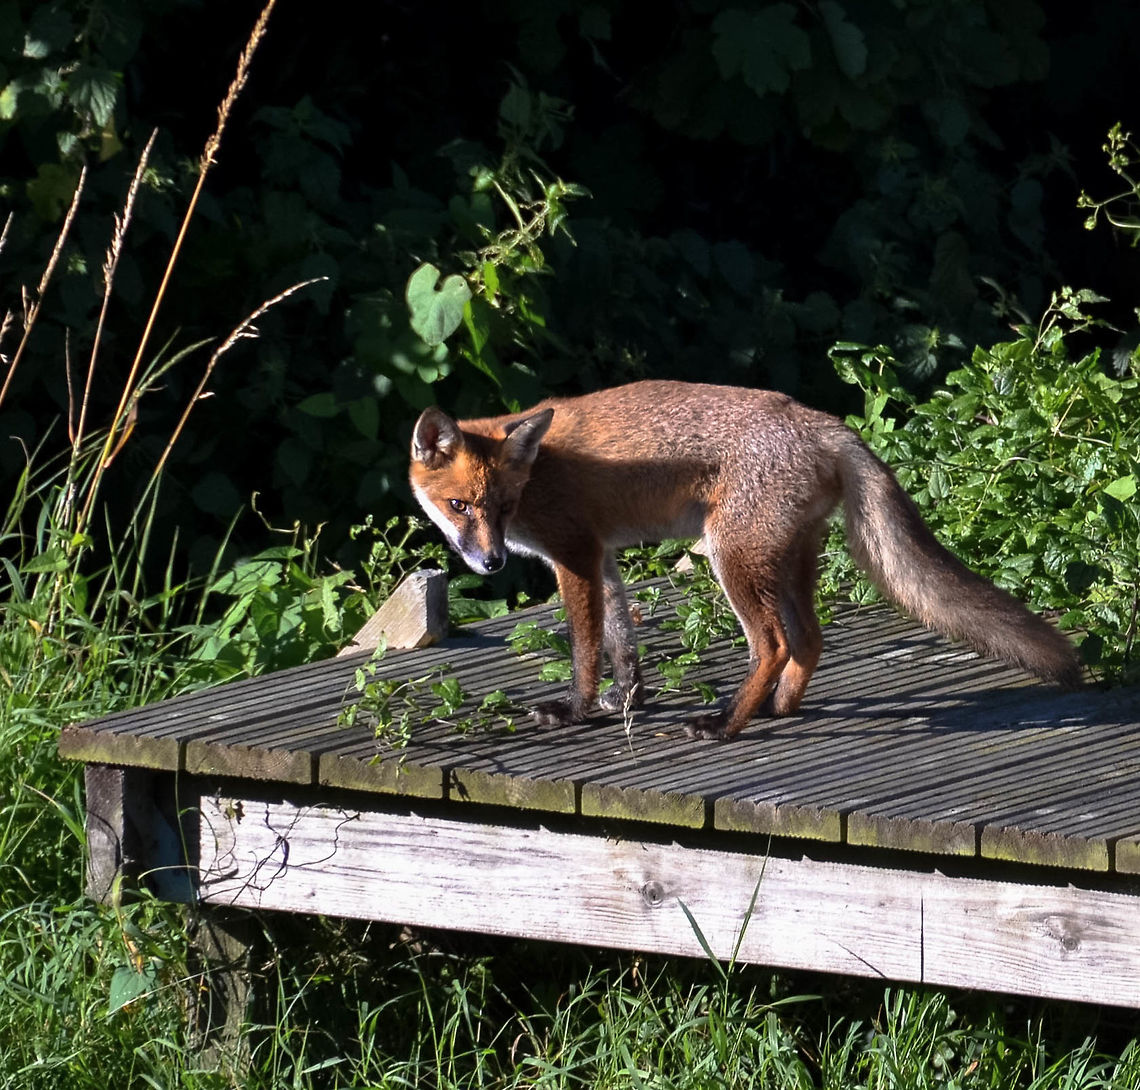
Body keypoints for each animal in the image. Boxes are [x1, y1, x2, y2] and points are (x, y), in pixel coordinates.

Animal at [409, 380, 1081, 740]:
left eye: (503, 507)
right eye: (459, 505)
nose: (492, 564)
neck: (540, 471)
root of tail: (825, 423)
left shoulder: (574, 553)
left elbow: (584, 648)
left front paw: (575, 710)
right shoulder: (603, 555)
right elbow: (623, 642)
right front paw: (624, 702)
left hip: (730, 558)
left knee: (775, 644)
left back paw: (727, 722)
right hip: (783, 560)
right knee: (810, 639)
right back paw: (778, 708)